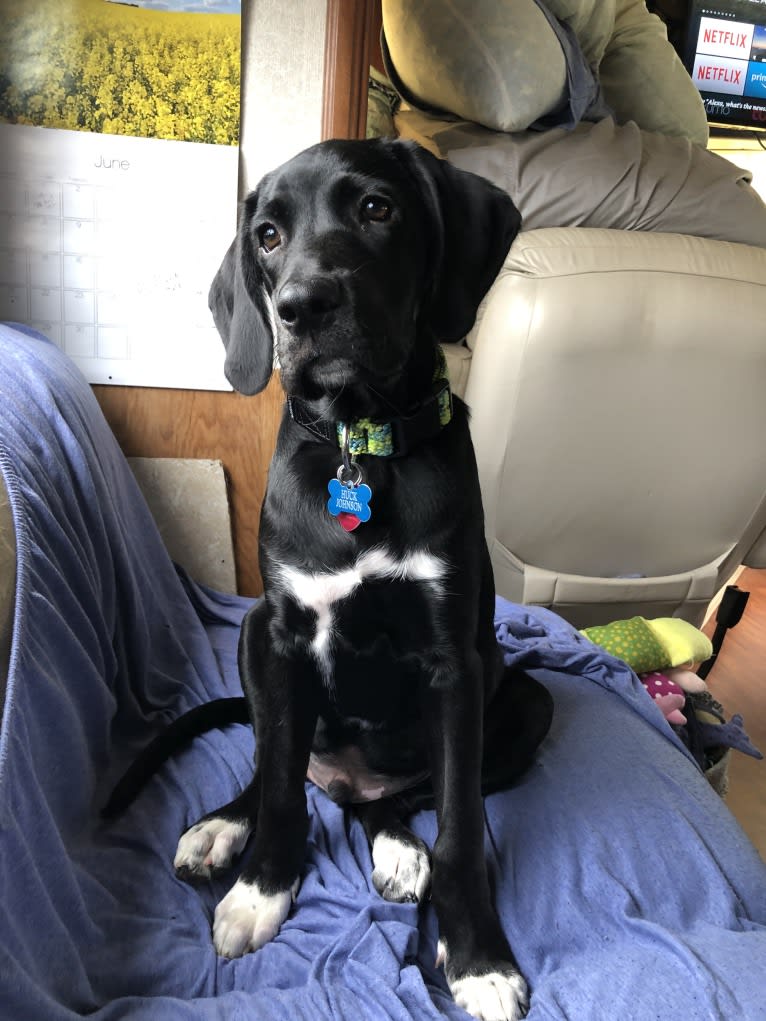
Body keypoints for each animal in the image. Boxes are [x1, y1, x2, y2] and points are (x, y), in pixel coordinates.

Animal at [113, 137, 555, 1021]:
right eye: (268, 236)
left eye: (377, 209)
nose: (303, 306)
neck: (362, 437)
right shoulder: (281, 637)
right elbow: (282, 783)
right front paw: (260, 889)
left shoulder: (456, 664)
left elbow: (460, 823)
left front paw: (479, 958)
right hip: (254, 641)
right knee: (273, 764)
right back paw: (222, 826)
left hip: (522, 697)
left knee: (398, 796)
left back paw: (398, 849)